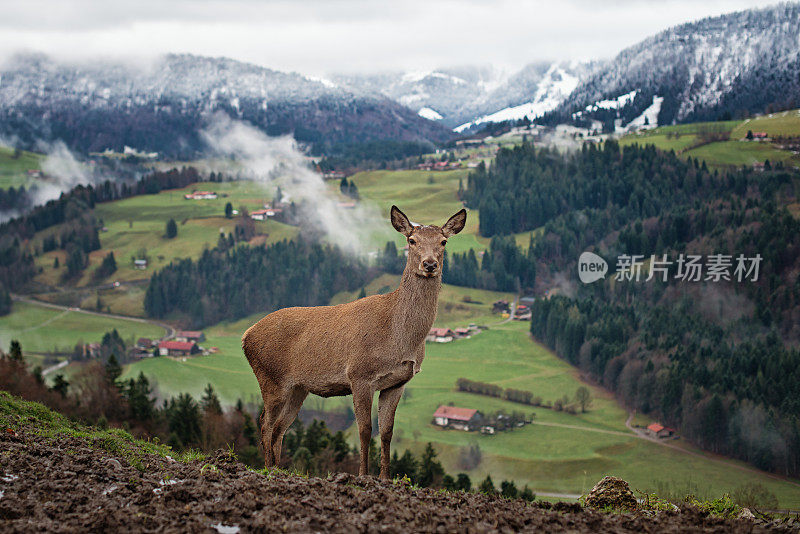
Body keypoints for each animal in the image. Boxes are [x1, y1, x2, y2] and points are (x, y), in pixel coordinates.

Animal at [244, 206, 468, 482]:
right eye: (412, 240)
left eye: (443, 241)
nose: (429, 264)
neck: (399, 338)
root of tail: (246, 336)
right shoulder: (360, 375)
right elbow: (365, 429)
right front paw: (362, 476)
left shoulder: (398, 383)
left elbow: (387, 431)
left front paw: (385, 478)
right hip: (271, 378)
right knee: (265, 422)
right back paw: (268, 470)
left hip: (298, 388)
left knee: (279, 427)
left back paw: (279, 469)